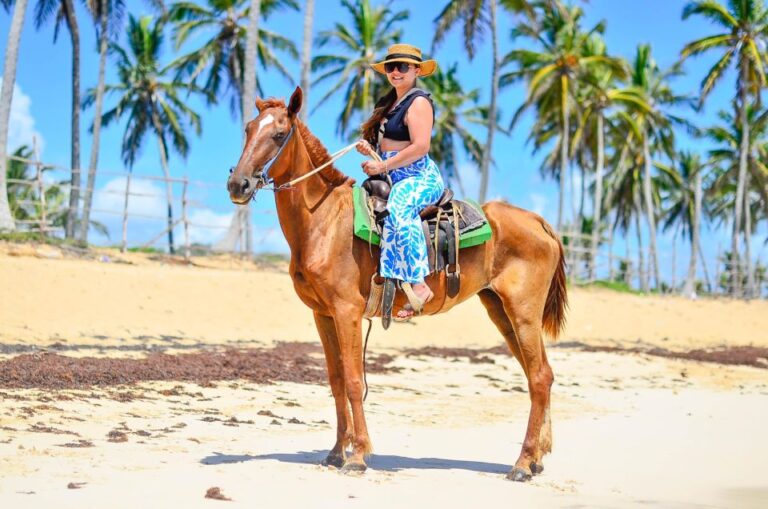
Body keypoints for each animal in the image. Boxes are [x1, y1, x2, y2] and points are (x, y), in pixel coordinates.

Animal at [225, 87, 568, 480]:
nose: (238, 184)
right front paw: (335, 452)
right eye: (248, 129)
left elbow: (354, 381)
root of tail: (539, 221)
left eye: (279, 134)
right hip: (501, 311)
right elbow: (336, 381)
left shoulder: (346, 313)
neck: (325, 221)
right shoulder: (323, 315)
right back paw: (537, 456)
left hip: (523, 312)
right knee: (539, 375)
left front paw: (357, 455)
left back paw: (523, 463)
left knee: (539, 377)